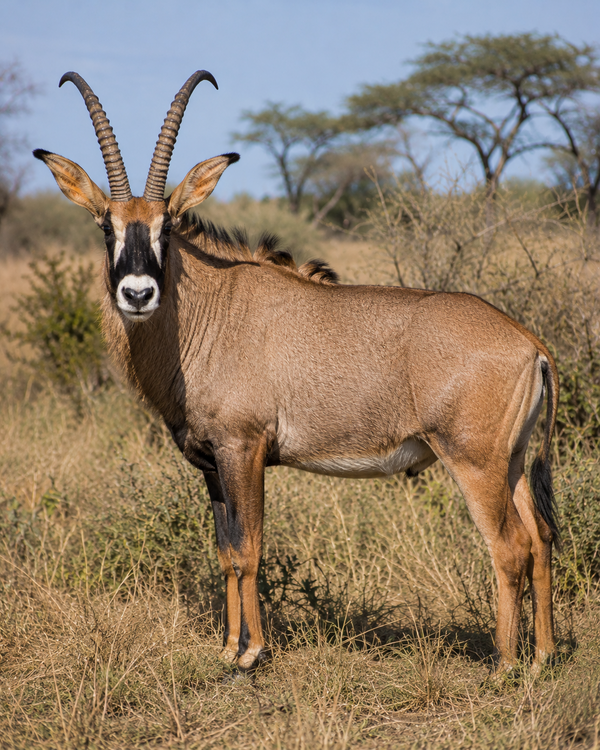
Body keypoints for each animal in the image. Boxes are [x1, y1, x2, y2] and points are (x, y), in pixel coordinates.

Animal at [34, 70, 559, 676]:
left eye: (166, 227)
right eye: (107, 227)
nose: (138, 293)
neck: (209, 312)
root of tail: (530, 344)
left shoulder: (244, 449)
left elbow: (249, 549)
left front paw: (251, 652)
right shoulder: (211, 464)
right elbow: (226, 553)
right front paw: (226, 647)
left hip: (473, 463)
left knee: (509, 547)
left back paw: (506, 664)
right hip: (511, 462)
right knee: (540, 540)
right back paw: (543, 655)